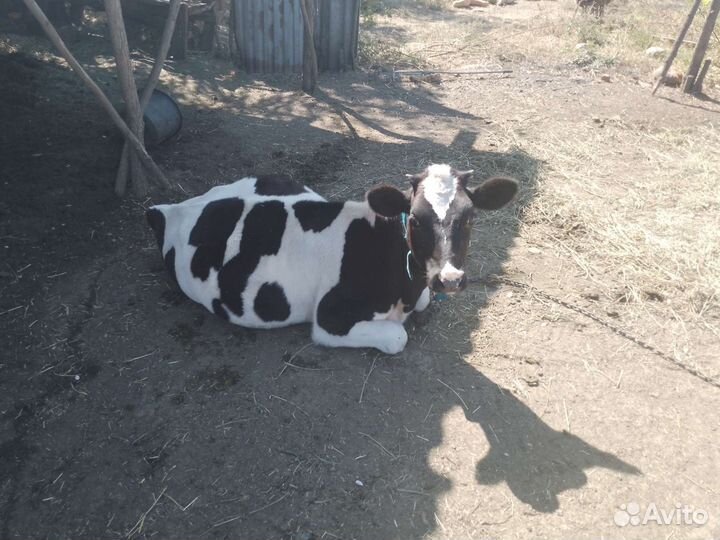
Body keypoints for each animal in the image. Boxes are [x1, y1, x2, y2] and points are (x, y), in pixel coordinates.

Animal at [146, 164, 518, 354]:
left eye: (470, 217)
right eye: (414, 218)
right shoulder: (329, 319)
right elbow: (398, 336)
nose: (450, 279)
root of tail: (172, 207)